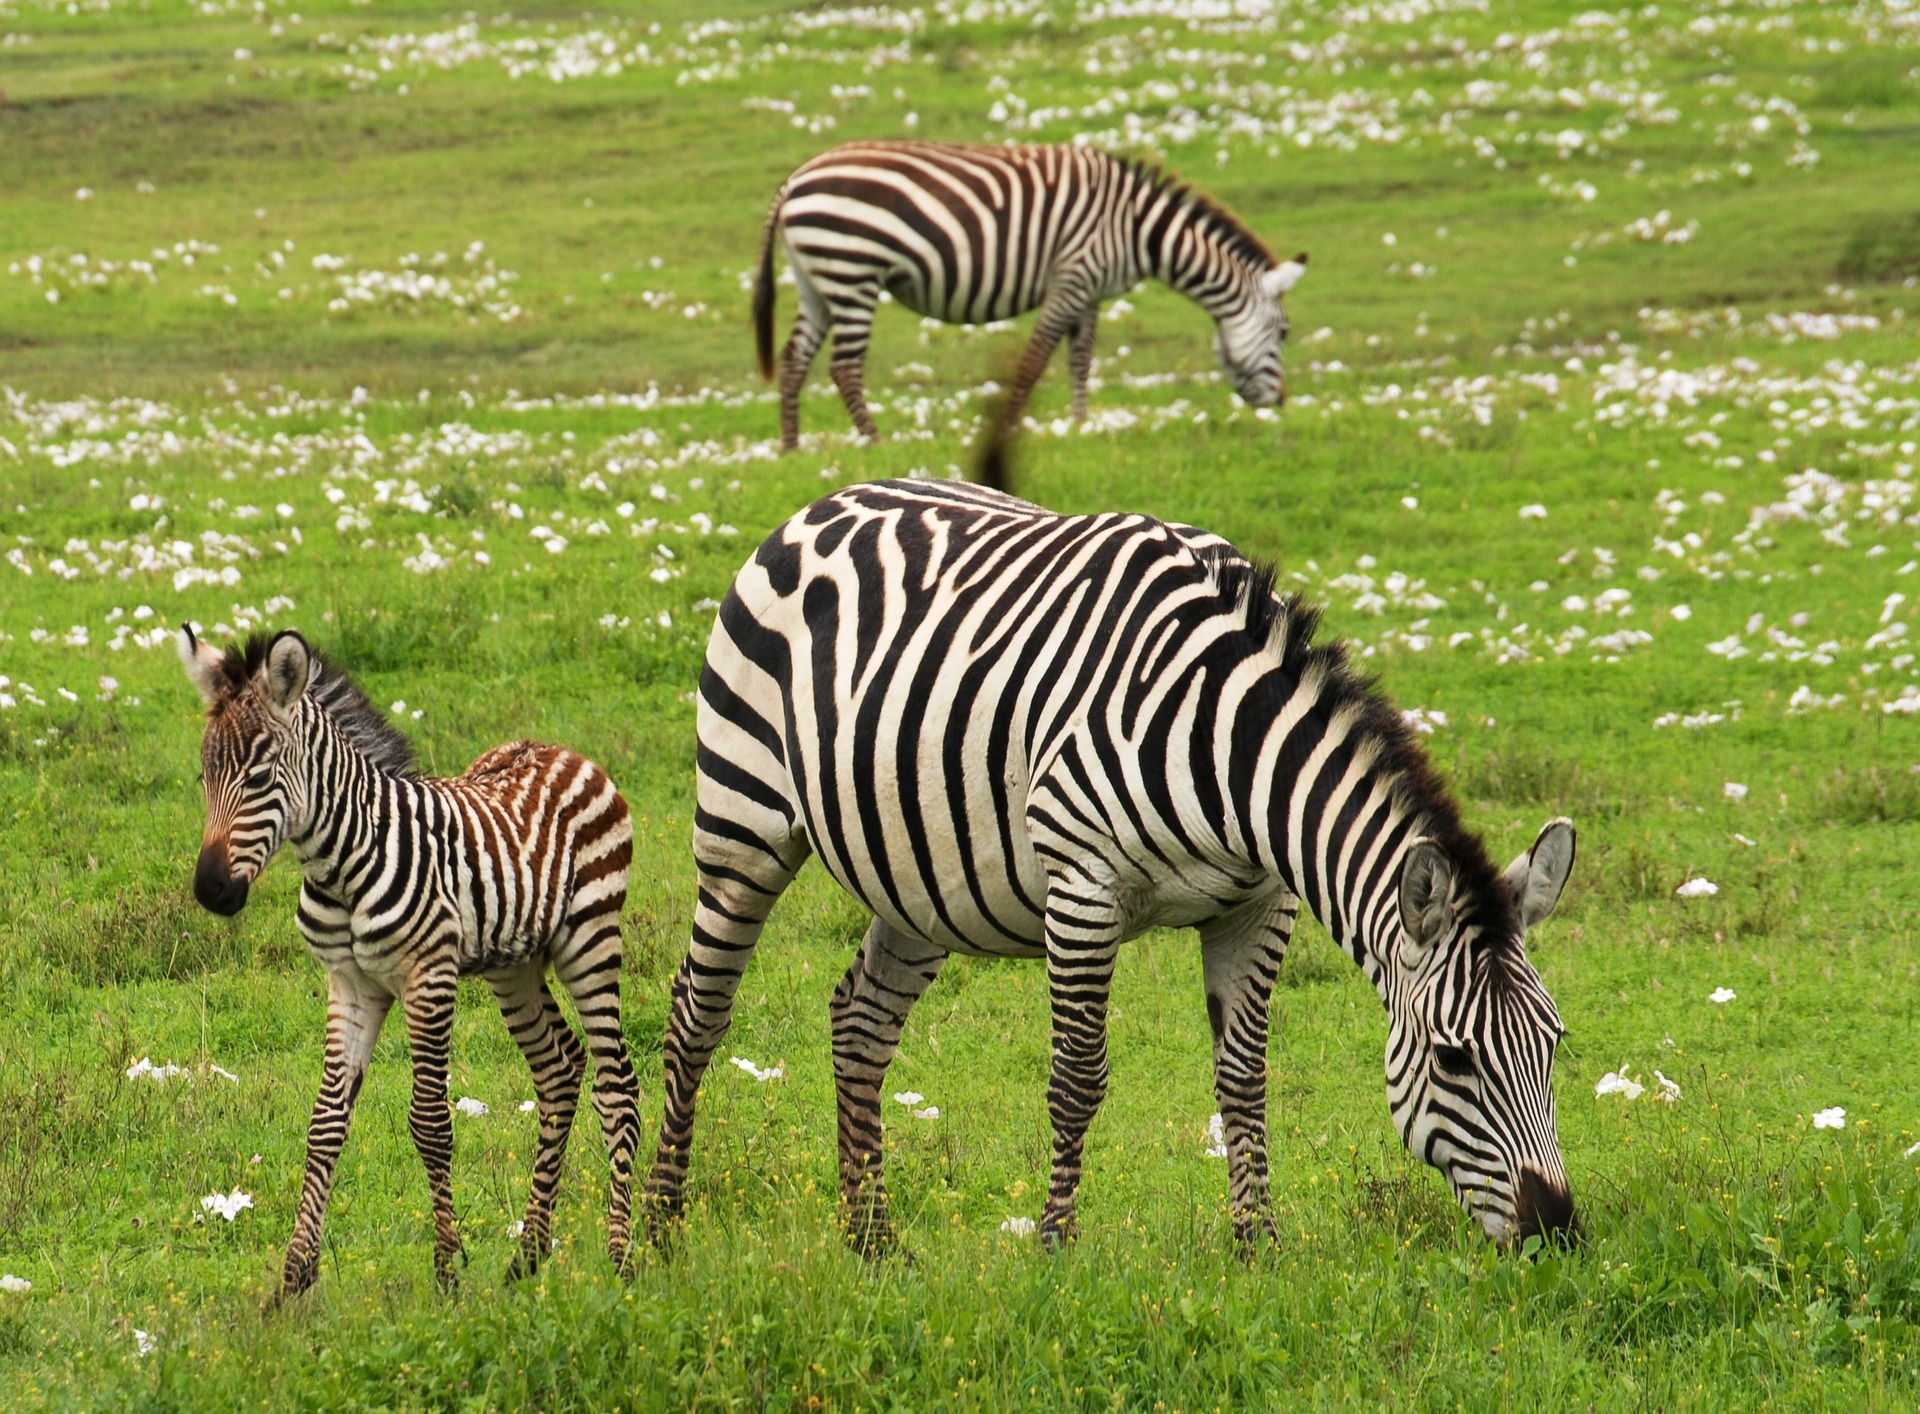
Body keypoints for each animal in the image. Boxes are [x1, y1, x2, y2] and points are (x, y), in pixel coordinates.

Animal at [178, 627, 641, 1298]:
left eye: (260, 776)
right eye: (205, 774)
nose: (211, 892)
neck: (342, 863)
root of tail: (562, 749)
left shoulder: (429, 978)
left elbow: (431, 1124)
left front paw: (447, 1272)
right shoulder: (349, 984)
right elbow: (325, 1125)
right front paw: (293, 1280)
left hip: (591, 938)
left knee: (617, 1084)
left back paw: (623, 1258)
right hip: (514, 965)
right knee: (559, 1070)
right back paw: (527, 1257)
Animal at [646, 479, 1580, 1253]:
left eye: (1554, 1045)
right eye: (1454, 1060)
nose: (1557, 1233)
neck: (1229, 745)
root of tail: (825, 502)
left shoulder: (1259, 905)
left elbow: (1243, 1079)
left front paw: (1259, 1248)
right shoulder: (1084, 887)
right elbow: (1077, 1078)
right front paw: (1056, 1244)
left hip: (918, 876)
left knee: (859, 1022)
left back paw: (870, 1240)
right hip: (743, 819)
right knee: (697, 1013)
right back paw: (653, 1232)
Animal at [753, 141, 1307, 453]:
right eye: (1283, 333)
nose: (1279, 405)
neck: (1138, 229)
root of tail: (793, 181)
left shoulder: (1090, 292)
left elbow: (1080, 358)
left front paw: (1081, 427)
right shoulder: (1074, 275)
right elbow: (1036, 359)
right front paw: (1014, 428)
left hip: (818, 279)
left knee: (794, 358)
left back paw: (791, 448)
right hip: (852, 269)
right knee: (843, 367)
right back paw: (875, 441)